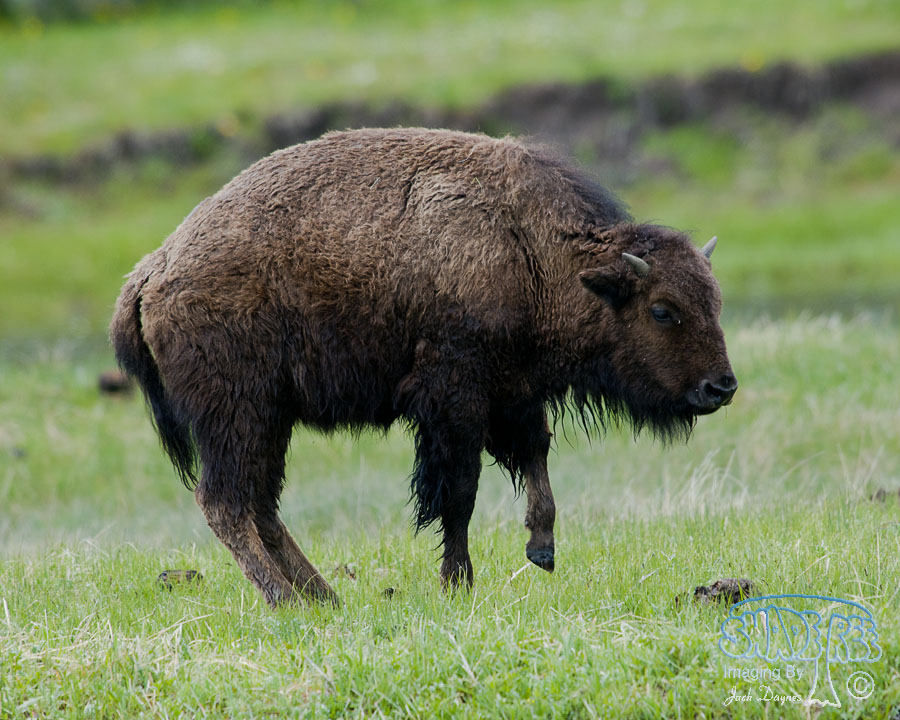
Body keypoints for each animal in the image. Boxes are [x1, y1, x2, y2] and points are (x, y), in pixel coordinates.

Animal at [110, 128, 736, 607]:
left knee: (260, 505)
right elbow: (459, 490)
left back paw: (324, 597)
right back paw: (286, 600)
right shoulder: (454, 398)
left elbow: (534, 454)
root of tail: (152, 272)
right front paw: (458, 582)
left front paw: (542, 549)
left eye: (715, 299)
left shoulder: (513, 392)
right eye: (662, 309)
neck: (528, 250)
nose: (721, 387)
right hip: (240, 415)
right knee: (227, 503)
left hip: (270, 421)